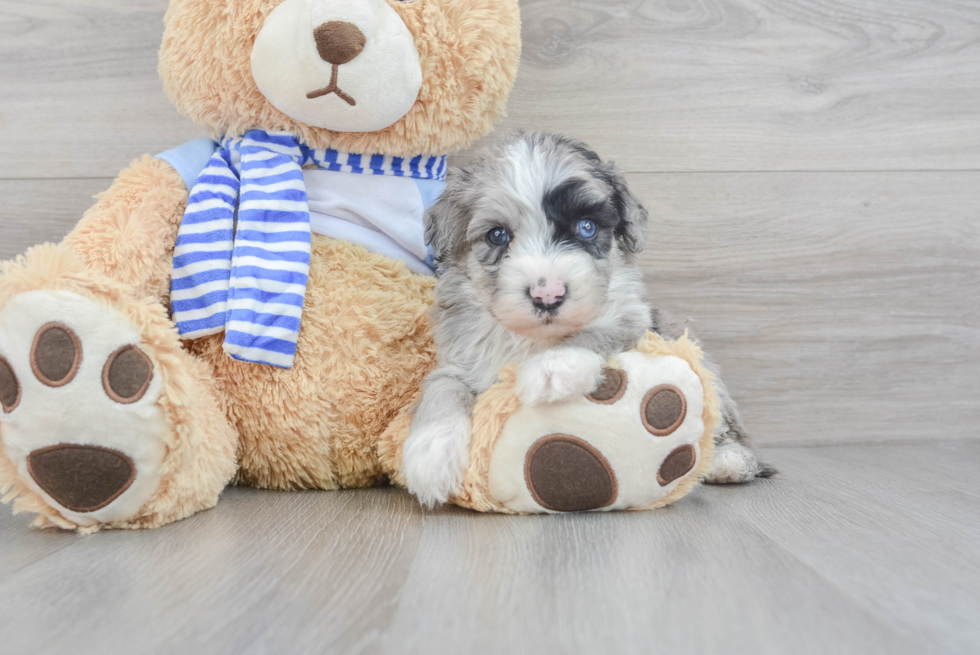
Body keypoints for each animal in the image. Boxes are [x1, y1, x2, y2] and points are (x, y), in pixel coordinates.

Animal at [400, 132, 772, 508]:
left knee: (728, 428)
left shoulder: (635, 324)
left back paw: (728, 462)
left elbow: (596, 333)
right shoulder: (459, 358)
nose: (548, 294)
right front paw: (431, 455)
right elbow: (443, 388)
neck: (535, 338)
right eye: (497, 235)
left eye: (587, 227)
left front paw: (552, 368)